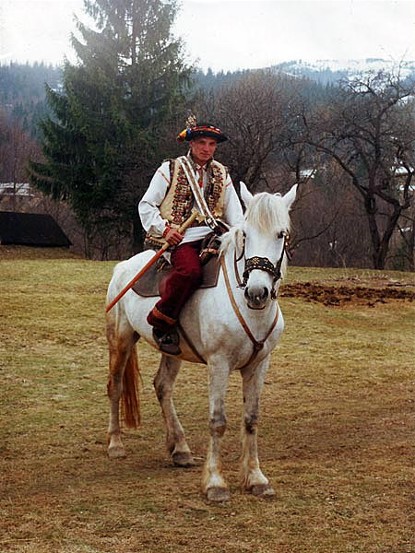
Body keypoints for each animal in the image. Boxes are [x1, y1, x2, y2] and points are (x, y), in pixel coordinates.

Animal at [105, 181, 298, 500]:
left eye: (280, 234)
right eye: (246, 234)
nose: (257, 293)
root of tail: (123, 267)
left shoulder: (259, 365)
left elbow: (251, 418)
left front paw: (256, 478)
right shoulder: (219, 364)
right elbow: (217, 421)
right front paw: (215, 483)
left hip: (171, 350)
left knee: (163, 386)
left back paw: (180, 448)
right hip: (120, 339)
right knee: (116, 386)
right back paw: (115, 444)